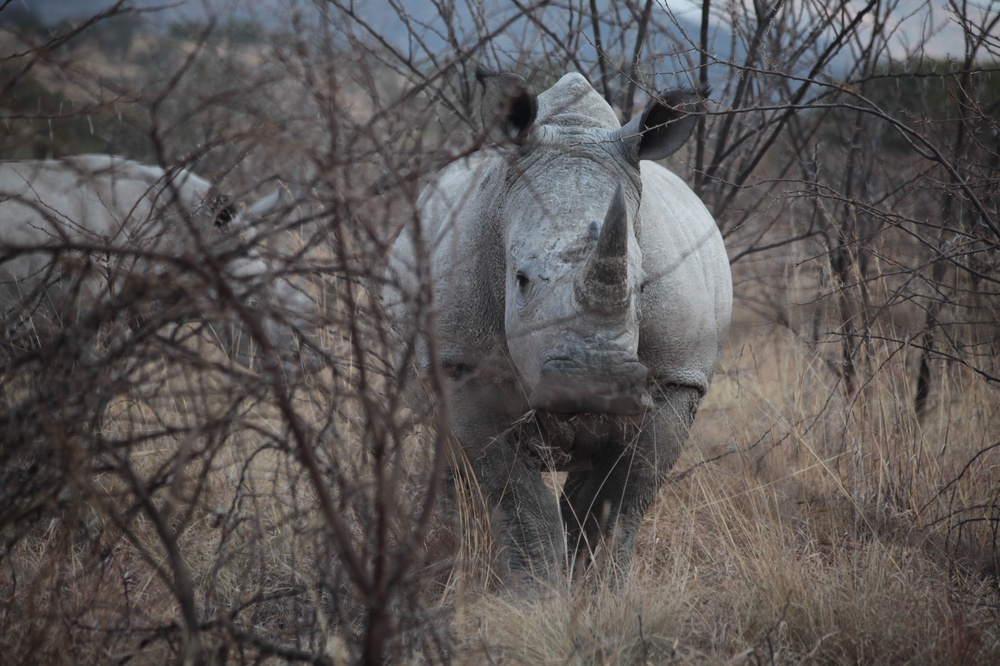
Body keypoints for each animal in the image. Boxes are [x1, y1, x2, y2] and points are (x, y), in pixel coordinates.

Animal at [386, 71, 732, 580]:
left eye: (642, 286)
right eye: (521, 279)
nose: (595, 383)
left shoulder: (677, 376)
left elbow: (621, 501)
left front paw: (597, 590)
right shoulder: (462, 363)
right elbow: (517, 500)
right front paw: (536, 592)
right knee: (450, 453)